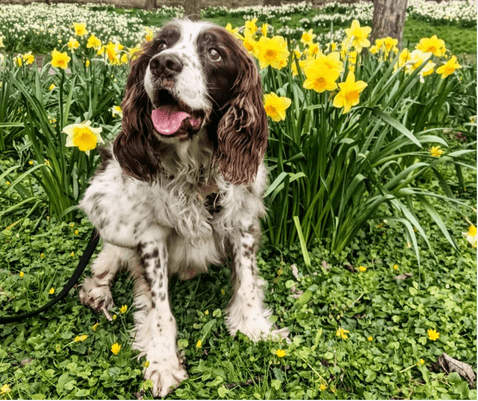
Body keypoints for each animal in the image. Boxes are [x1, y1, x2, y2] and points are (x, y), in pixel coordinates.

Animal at [79, 18, 288, 396]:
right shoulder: (148, 234)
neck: (195, 170)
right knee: (106, 259)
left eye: (214, 53)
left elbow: (247, 280)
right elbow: (160, 306)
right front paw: (163, 362)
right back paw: (98, 293)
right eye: (162, 45)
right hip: (106, 207)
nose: (163, 64)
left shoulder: (242, 218)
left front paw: (253, 326)